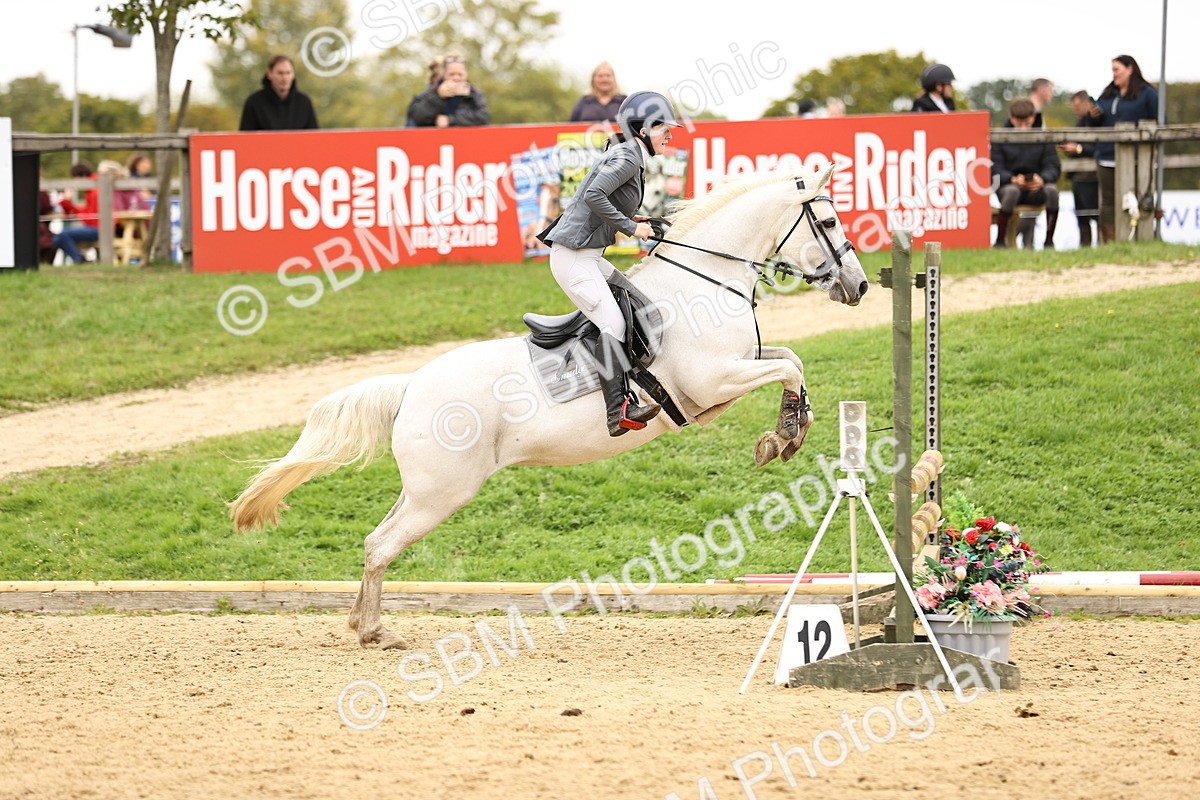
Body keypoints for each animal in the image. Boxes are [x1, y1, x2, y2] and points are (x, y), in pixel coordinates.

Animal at [230, 164, 869, 649]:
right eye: (829, 221)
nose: (859, 286)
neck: (705, 282)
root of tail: (412, 386)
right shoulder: (713, 382)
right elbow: (790, 367)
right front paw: (784, 436)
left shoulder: (731, 375)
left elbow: (791, 360)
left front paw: (790, 428)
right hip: (442, 493)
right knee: (382, 545)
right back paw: (374, 631)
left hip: (422, 492)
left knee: (373, 541)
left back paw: (365, 625)